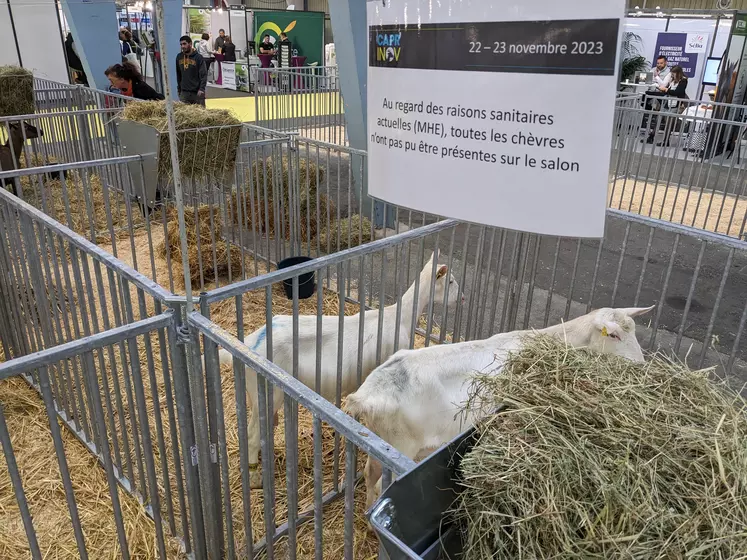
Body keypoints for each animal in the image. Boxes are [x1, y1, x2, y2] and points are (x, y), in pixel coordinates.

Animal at [216, 252, 462, 488]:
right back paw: (255, 477)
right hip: (267, 392)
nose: (462, 298)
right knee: (252, 434)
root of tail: (250, 341)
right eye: (450, 281)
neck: (399, 317)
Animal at [344, 306, 656, 508]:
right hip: (402, 446)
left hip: (381, 441)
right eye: (613, 335)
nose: (641, 367)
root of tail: (366, 395)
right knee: (382, 483)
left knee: (369, 474)